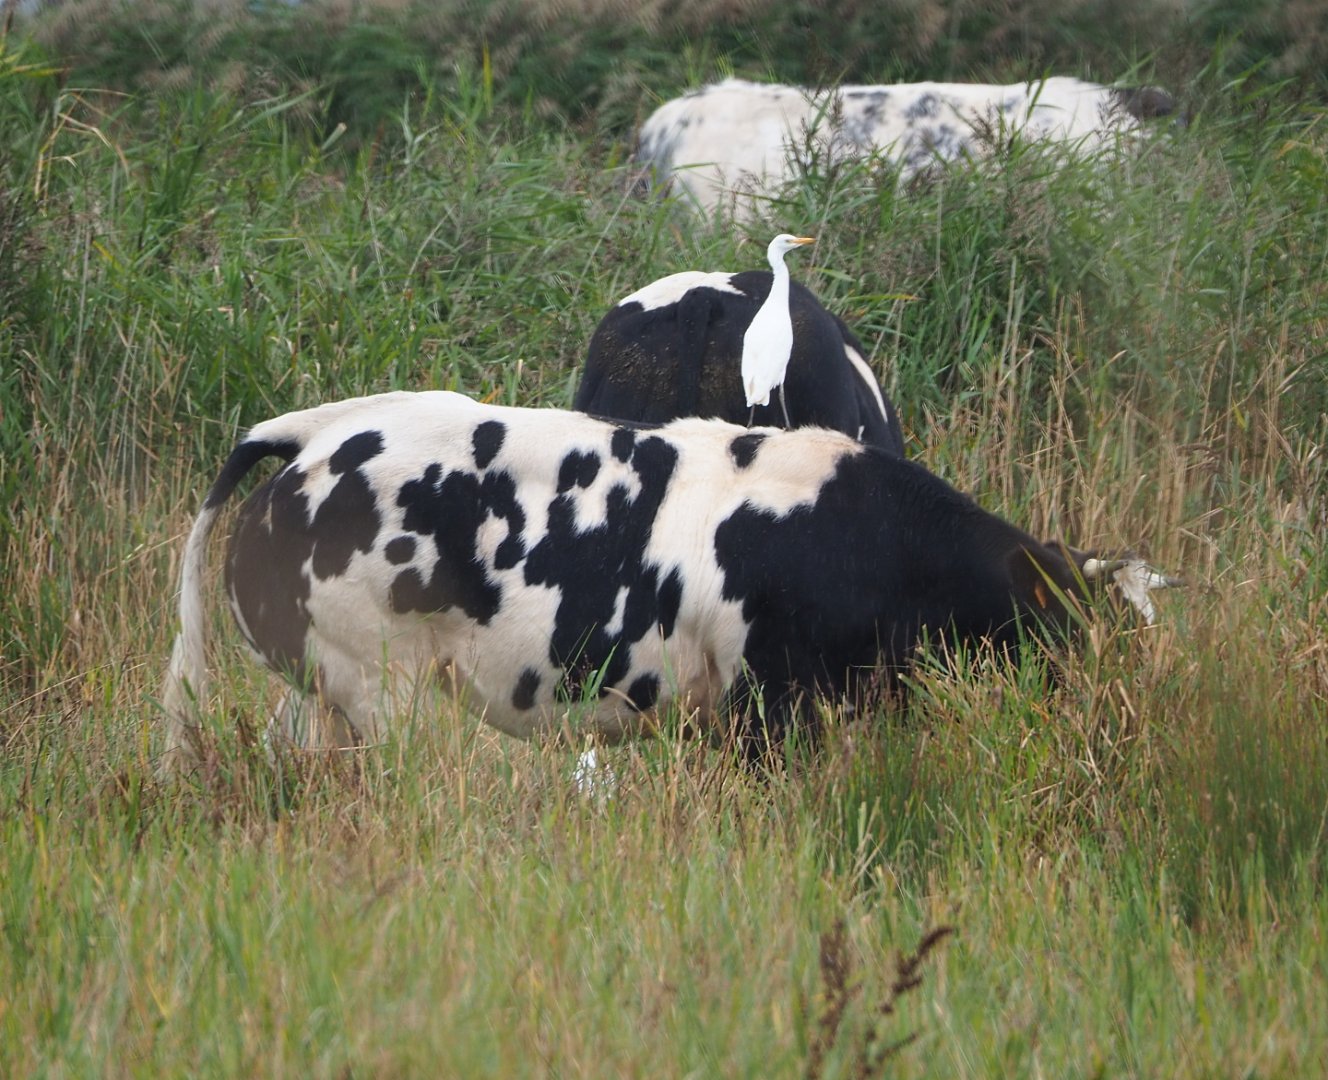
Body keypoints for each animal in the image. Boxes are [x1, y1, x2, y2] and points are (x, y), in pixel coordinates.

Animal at [160, 390, 1175, 773]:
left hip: (321, 696)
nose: (1115, 723)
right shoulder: (774, 708)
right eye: (1064, 628)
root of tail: (313, 434)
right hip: (385, 690)